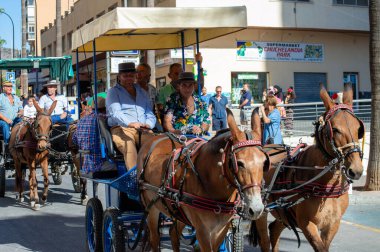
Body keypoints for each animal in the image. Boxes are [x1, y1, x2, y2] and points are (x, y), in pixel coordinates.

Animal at [138, 109, 268, 252]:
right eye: (239, 163)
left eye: (264, 163)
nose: (256, 209)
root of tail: (156, 137)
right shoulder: (202, 231)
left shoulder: (221, 228)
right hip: (151, 208)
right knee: (155, 239)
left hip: (179, 212)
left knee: (173, 232)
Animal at [251, 83, 364, 251]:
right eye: (335, 129)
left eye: (358, 129)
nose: (356, 170)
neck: (326, 185)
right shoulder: (306, 224)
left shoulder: (332, 225)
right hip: (260, 210)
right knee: (265, 240)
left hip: (284, 212)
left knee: (275, 229)